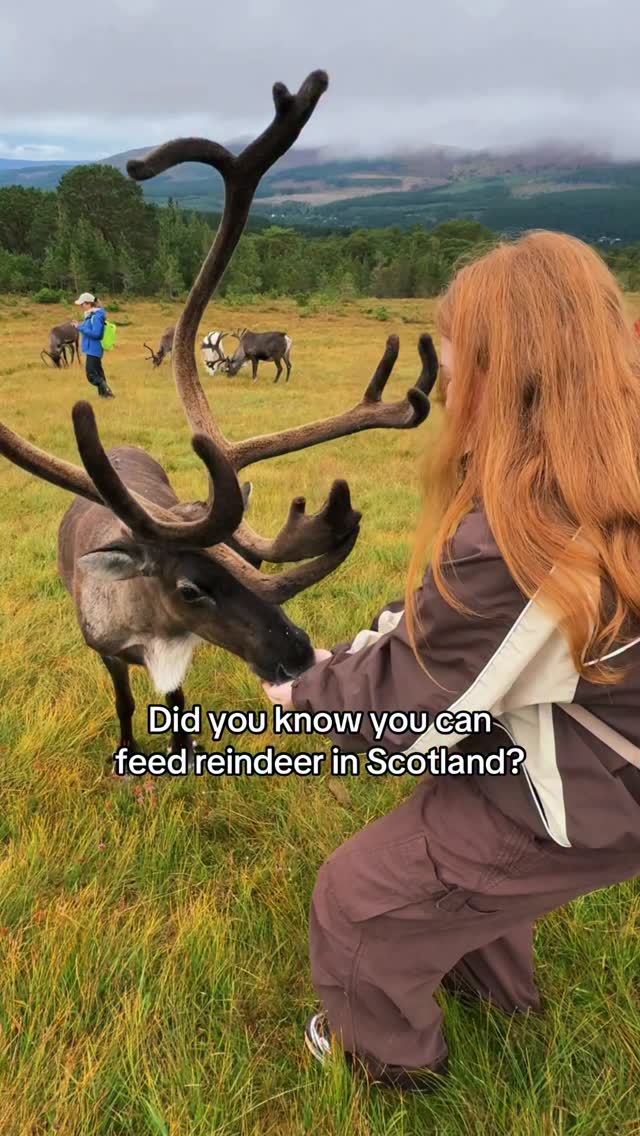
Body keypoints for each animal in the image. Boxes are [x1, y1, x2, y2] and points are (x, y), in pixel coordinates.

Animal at [0, 70, 438, 761]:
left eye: (254, 564)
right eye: (190, 588)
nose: (299, 654)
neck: (149, 628)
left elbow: (176, 702)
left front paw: (183, 749)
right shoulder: (107, 651)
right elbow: (127, 701)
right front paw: (133, 750)